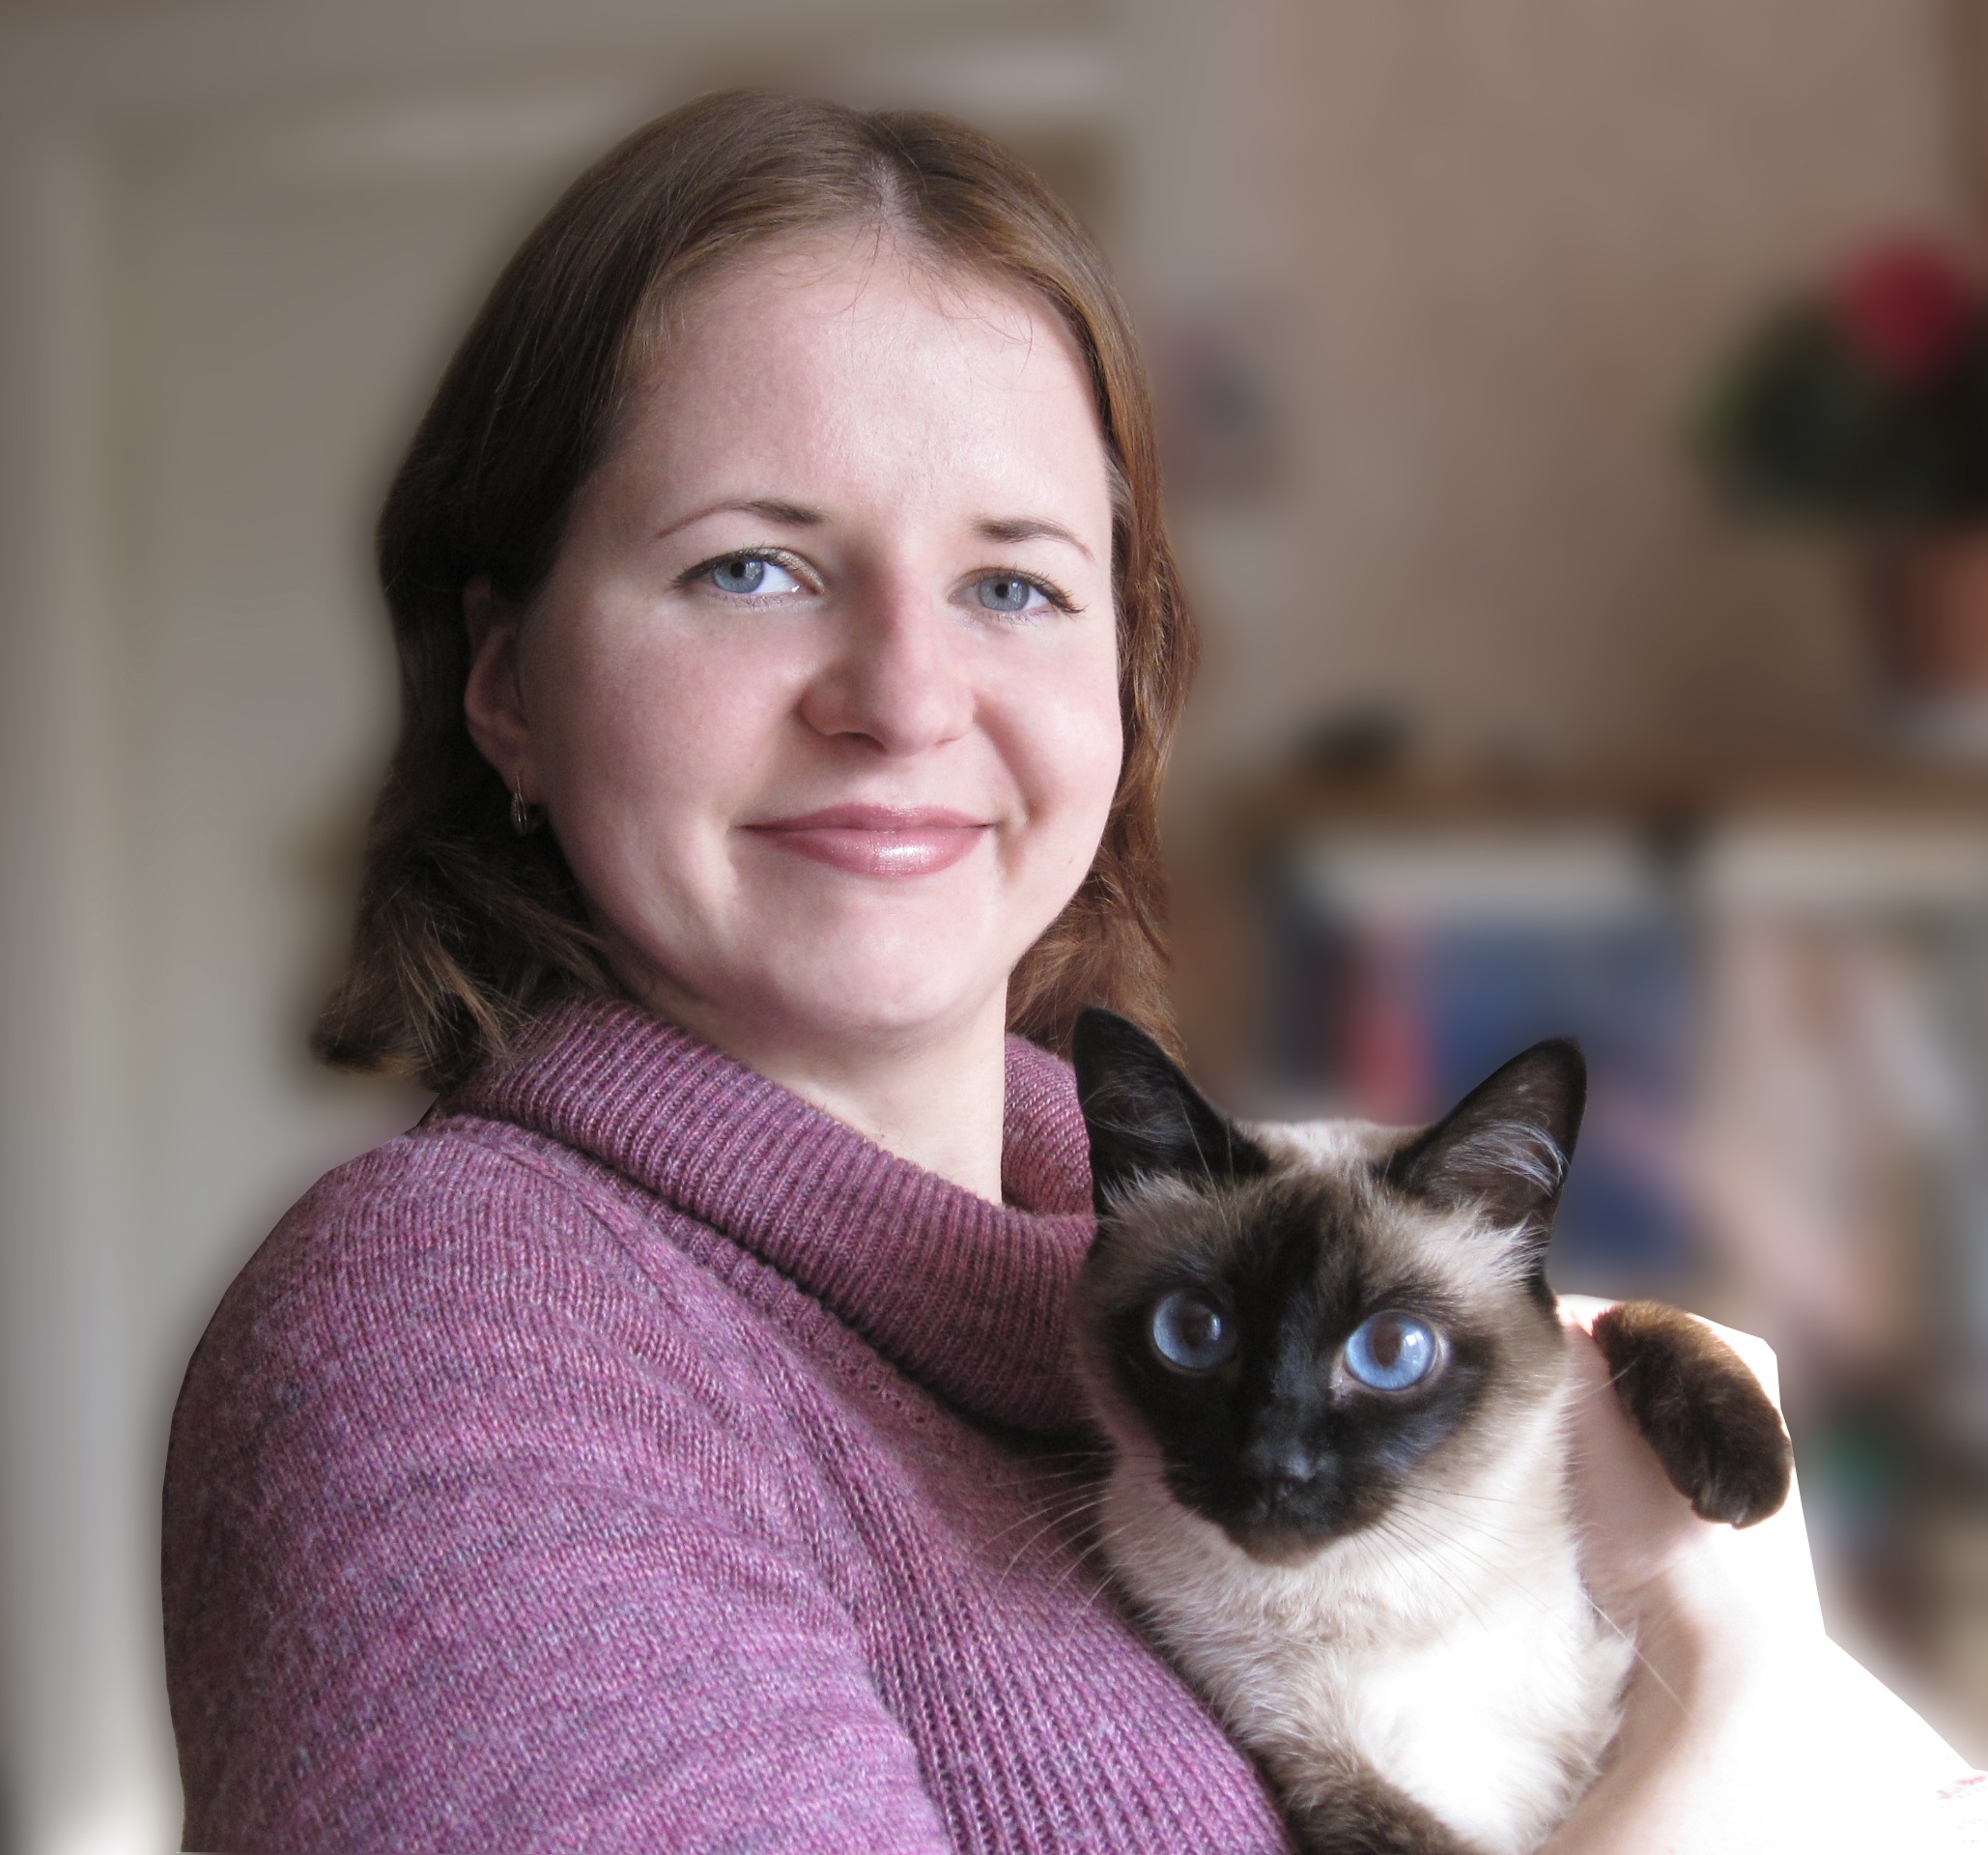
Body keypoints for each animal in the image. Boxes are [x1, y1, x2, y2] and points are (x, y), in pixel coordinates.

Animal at [1067, 1007, 1794, 1855]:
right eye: (1192, 1333)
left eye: (1391, 1352)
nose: (1275, 1466)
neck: (1393, 1588)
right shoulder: (1316, 1757)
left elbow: (1628, 1312)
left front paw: (1748, 1478)